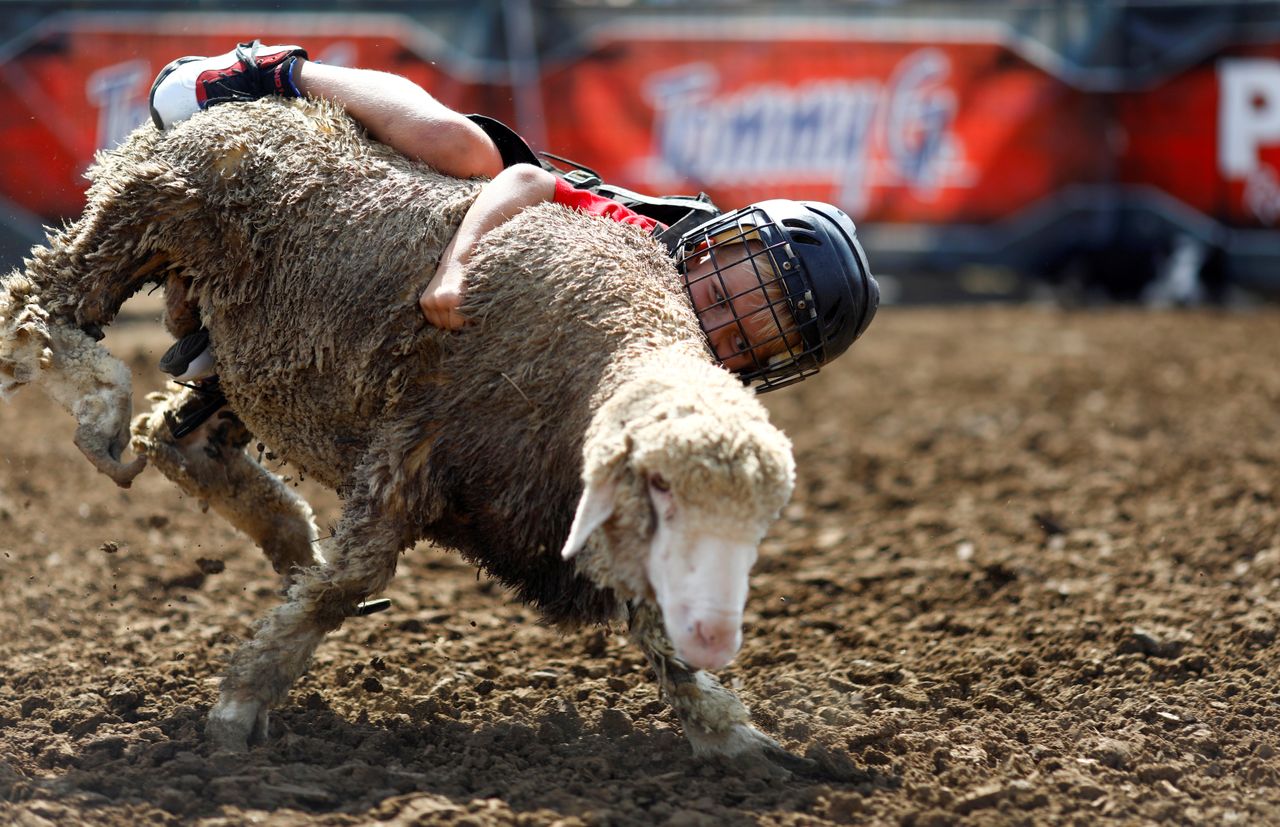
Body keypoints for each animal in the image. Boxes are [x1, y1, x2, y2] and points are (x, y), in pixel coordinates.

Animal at [0, 100, 814, 773]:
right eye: (663, 490)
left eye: (761, 523)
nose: (717, 635)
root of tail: (256, 104)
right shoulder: (413, 449)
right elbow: (346, 584)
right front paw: (241, 707)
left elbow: (656, 630)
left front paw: (732, 737)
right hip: (143, 216)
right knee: (37, 302)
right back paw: (98, 401)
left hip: (250, 358)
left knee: (181, 439)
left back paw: (282, 536)